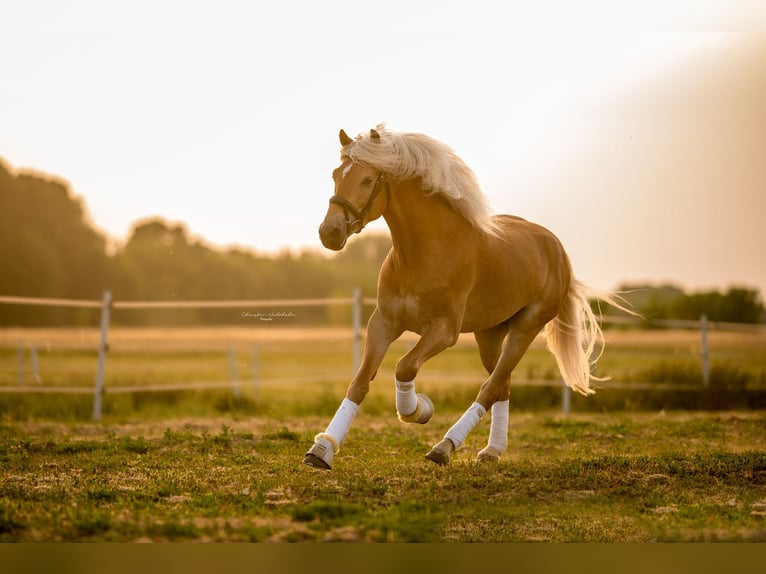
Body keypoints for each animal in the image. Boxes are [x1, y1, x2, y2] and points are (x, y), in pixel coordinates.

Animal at [304, 124, 632, 470]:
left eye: (367, 180)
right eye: (336, 174)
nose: (329, 233)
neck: (421, 254)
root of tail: (555, 246)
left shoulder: (443, 331)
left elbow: (404, 367)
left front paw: (419, 409)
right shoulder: (383, 323)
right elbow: (360, 381)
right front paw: (321, 450)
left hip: (525, 329)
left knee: (490, 387)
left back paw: (444, 447)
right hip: (488, 335)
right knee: (502, 386)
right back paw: (491, 451)